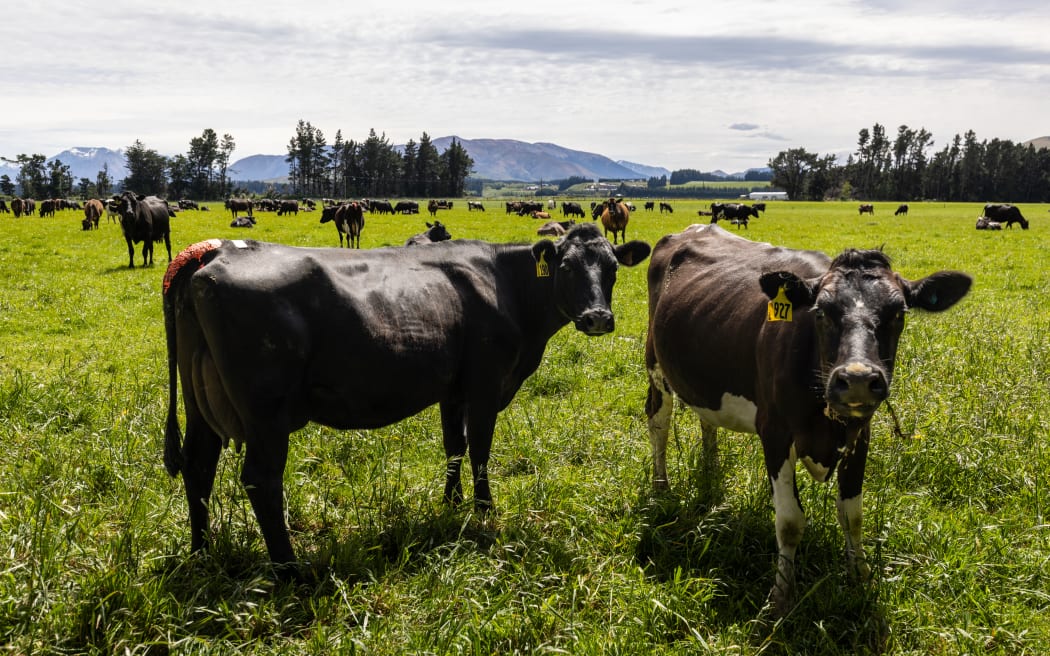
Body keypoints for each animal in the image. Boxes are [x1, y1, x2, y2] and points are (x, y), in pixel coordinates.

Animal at [160, 223, 651, 566]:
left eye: (612, 269)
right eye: (566, 267)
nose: (597, 317)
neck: (506, 284)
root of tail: (214, 251)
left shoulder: (453, 389)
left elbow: (454, 446)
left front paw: (452, 504)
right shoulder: (486, 383)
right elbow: (480, 449)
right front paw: (484, 510)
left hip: (201, 404)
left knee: (199, 468)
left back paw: (202, 552)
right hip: (266, 413)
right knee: (261, 480)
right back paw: (289, 569)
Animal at [644, 223, 971, 616]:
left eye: (898, 313)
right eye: (821, 312)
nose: (858, 379)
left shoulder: (860, 433)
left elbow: (852, 515)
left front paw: (860, 576)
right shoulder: (774, 432)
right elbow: (789, 522)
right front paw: (782, 596)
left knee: (707, 418)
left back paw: (711, 470)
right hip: (655, 364)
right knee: (658, 422)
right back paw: (661, 488)